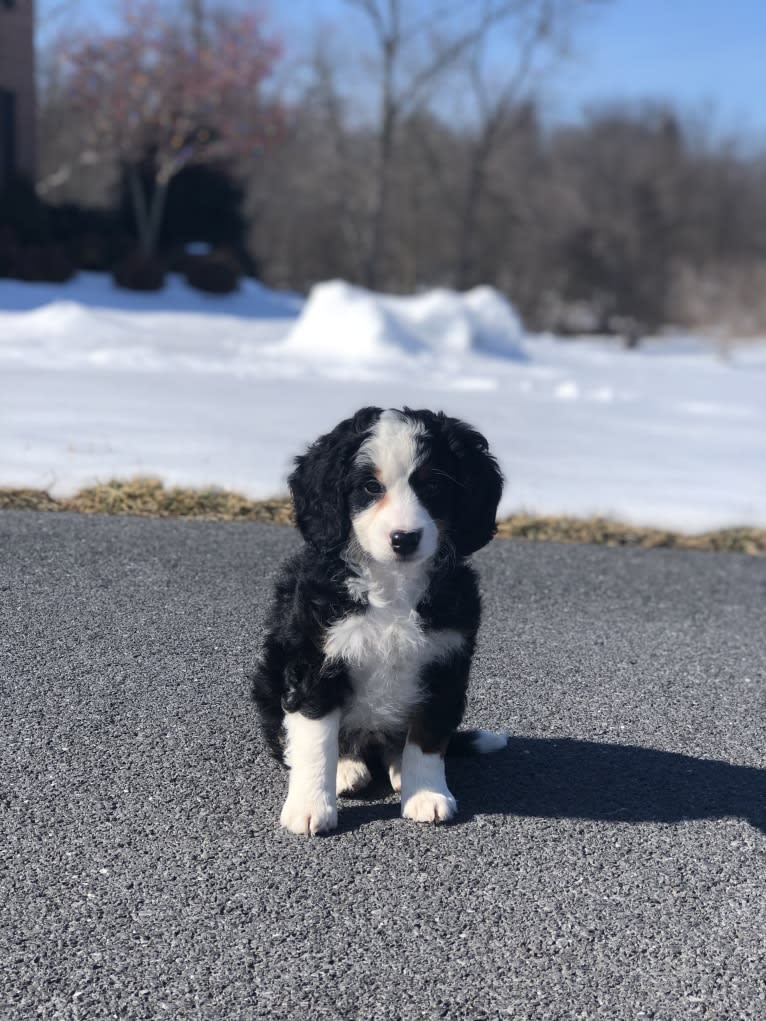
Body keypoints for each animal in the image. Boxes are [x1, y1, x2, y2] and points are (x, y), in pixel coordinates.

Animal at [249, 402, 506, 833]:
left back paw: (398, 768)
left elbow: (428, 737)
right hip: (270, 682)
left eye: (432, 487)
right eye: (371, 488)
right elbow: (315, 740)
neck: (392, 585)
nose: (404, 539)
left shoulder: (444, 661)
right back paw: (347, 770)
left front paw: (426, 794)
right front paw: (309, 806)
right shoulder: (315, 660)